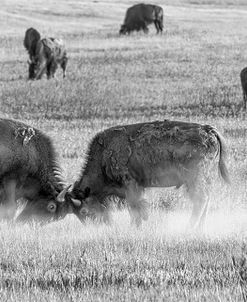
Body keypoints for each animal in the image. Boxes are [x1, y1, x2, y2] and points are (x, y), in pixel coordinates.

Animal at [64, 119, 230, 230]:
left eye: (84, 211)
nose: (95, 227)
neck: (103, 155)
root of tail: (209, 130)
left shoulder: (131, 186)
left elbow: (135, 208)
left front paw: (135, 227)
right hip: (203, 178)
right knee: (206, 199)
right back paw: (200, 228)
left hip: (194, 178)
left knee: (201, 199)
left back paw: (188, 227)